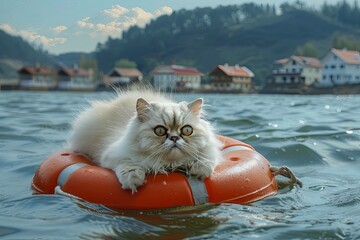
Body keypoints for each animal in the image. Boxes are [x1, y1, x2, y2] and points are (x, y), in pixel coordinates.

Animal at [67, 90, 222, 193]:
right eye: (160, 131)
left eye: (187, 130)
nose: (174, 138)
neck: (169, 164)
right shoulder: (112, 155)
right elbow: (128, 164)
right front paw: (133, 179)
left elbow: (206, 159)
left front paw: (200, 171)